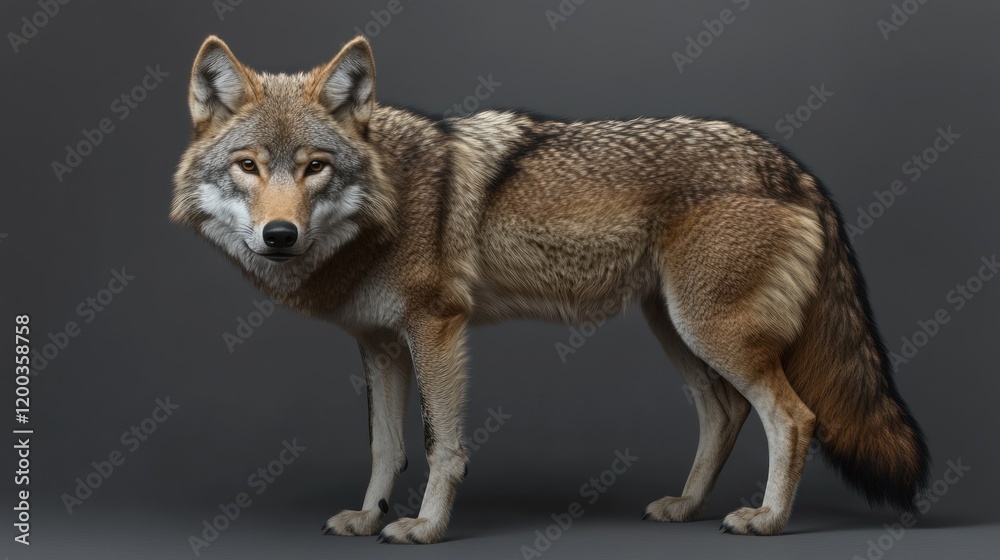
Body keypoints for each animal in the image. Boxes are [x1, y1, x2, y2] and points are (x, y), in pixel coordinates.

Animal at [172, 36, 929, 544]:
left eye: (315, 167)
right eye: (248, 166)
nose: (278, 235)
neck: (388, 199)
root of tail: (793, 168)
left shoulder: (438, 330)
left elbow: (442, 444)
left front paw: (425, 527)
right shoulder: (382, 347)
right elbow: (386, 447)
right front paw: (368, 515)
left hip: (711, 333)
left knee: (795, 418)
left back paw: (767, 519)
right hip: (678, 332)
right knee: (725, 413)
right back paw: (686, 509)